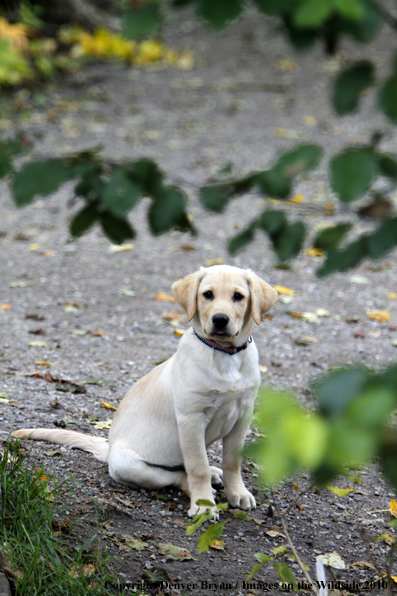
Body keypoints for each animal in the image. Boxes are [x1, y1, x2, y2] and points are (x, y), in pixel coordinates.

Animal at [13, 266, 276, 516]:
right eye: (207, 294)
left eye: (238, 296)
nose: (220, 319)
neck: (224, 354)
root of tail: (109, 449)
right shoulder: (191, 418)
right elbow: (197, 466)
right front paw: (203, 505)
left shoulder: (242, 416)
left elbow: (233, 462)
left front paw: (238, 493)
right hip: (130, 465)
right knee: (179, 475)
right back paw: (198, 487)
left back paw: (213, 473)